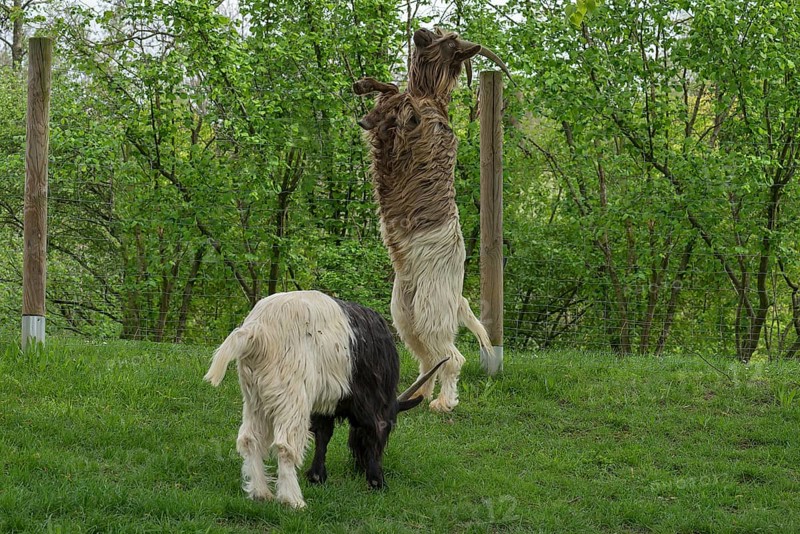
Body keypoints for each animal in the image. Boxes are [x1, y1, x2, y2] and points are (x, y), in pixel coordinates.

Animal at [204, 290, 445, 509]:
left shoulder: (325, 403)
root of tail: (257, 330)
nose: (359, 467)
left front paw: (317, 476)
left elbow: (323, 433)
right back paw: (293, 500)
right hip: (292, 395)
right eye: (391, 429)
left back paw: (261, 493)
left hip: (254, 397)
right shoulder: (370, 402)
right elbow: (373, 430)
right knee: (285, 445)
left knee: (249, 439)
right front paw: (377, 481)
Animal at [351, 29, 511, 412]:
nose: (420, 32)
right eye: (440, 33)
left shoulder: (415, 125)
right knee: (428, 358)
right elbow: (391, 92)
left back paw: (444, 402)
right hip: (405, 314)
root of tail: (457, 297)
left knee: (451, 357)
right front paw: (365, 90)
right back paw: (419, 395)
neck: (430, 98)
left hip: (431, 309)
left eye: (451, 42)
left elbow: (398, 96)